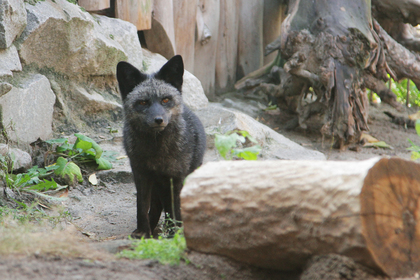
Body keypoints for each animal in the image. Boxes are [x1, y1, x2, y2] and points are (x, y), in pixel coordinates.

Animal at [116, 55, 207, 238]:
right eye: (143, 102)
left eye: (165, 100)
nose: (159, 120)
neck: (156, 151)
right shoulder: (141, 174)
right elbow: (142, 207)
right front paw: (143, 233)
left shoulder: (176, 177)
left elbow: (175, 209)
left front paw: (175, 234)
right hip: (156, 187)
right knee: (156, 207)